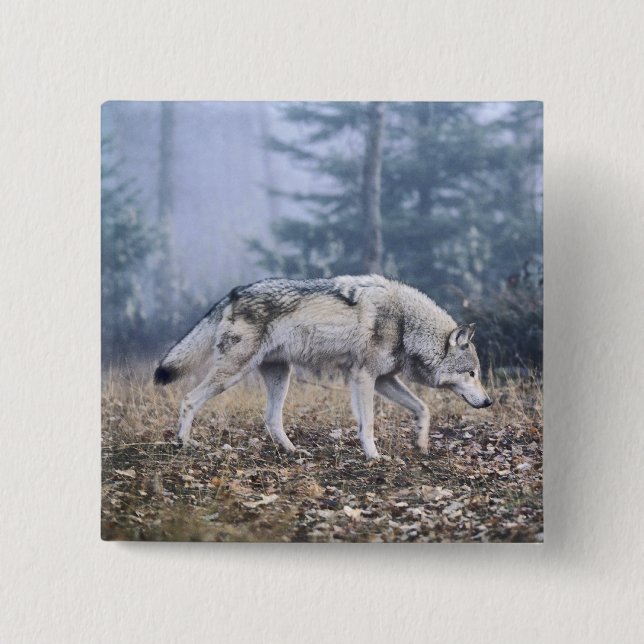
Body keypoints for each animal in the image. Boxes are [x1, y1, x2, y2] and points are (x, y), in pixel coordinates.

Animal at [154, 275, 492, 460]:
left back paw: (293, 452)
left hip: (281, 375)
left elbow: (424, 409)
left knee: (271, 419)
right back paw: (184, 442)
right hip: (233, 374)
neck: (405, 323)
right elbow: (369, 424)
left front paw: (420, 443)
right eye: (472, 374)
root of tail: (235, 292)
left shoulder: (383, 380)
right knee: (189, 399)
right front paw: (374, 456)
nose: (489, 401)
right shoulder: (364, 377)